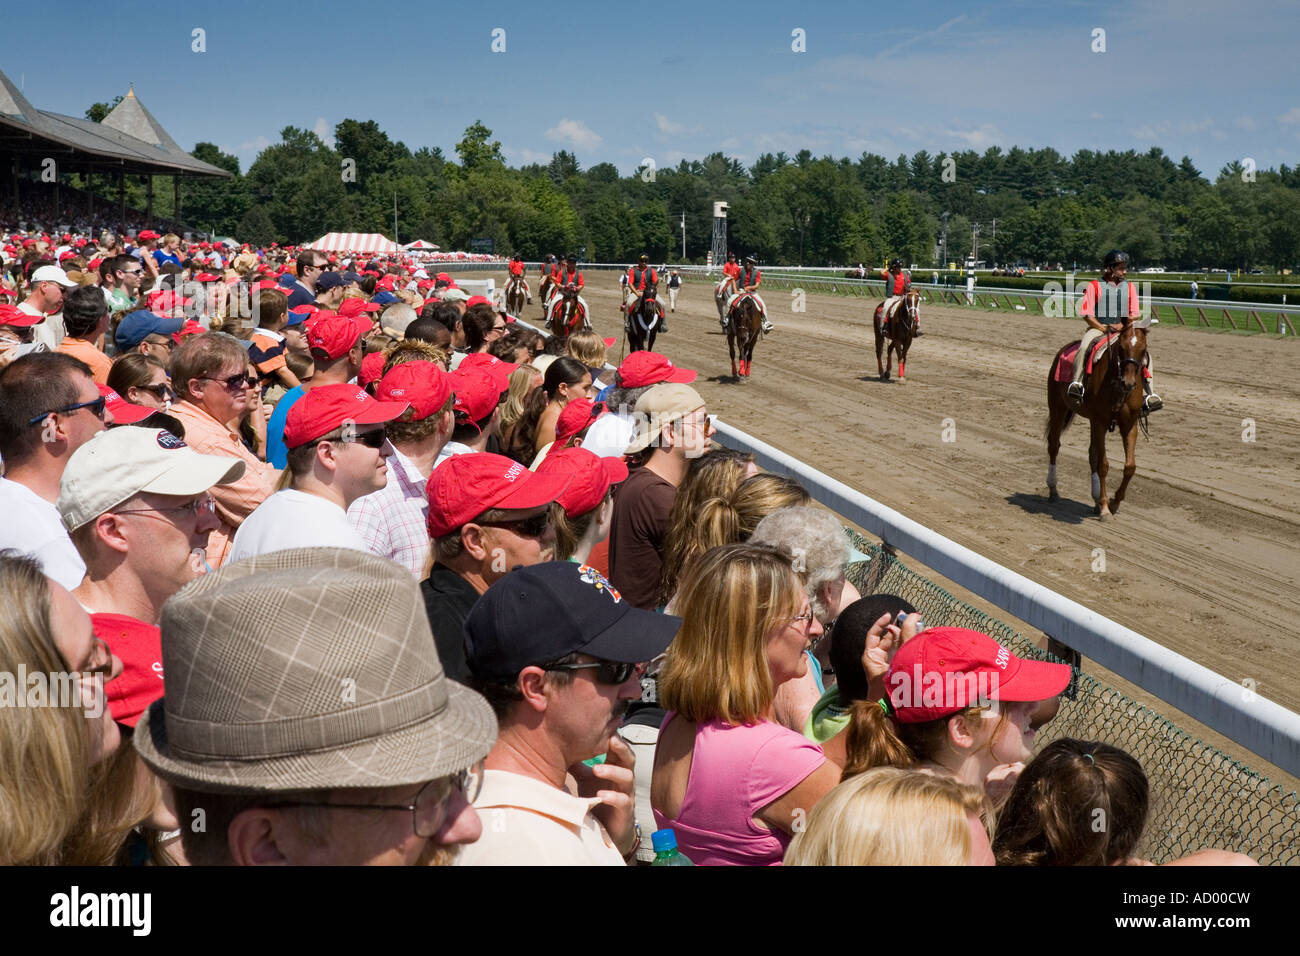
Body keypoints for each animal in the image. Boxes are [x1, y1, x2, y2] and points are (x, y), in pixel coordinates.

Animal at [1040, 317, 1154, 520]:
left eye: (1143, 349)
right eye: (1121, 347)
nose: (1129, 383)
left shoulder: (1129, 424)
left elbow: (1130, 467)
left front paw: (1114, 503)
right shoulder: (1099, 421)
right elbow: (1103, 464)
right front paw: (1105, 508)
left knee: (1091, 453)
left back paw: (1095, 500)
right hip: (1057, 408)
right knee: (1054, 445)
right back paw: (1053, 490)